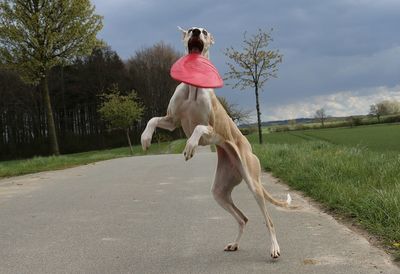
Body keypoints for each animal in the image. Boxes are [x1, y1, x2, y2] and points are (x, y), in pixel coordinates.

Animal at [142, 26, 292, 260]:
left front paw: (189, 147)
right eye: (191, 30)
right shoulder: (172, 120)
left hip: (253, 184)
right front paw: (146, 138)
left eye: (204, 31)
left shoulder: (211, 132)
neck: (194, 88)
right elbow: (153, 119)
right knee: (243, 218)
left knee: (269, 220)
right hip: (220, 190)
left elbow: (198, 129)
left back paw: (274, 248)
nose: (196, 31)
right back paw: (234, 244)